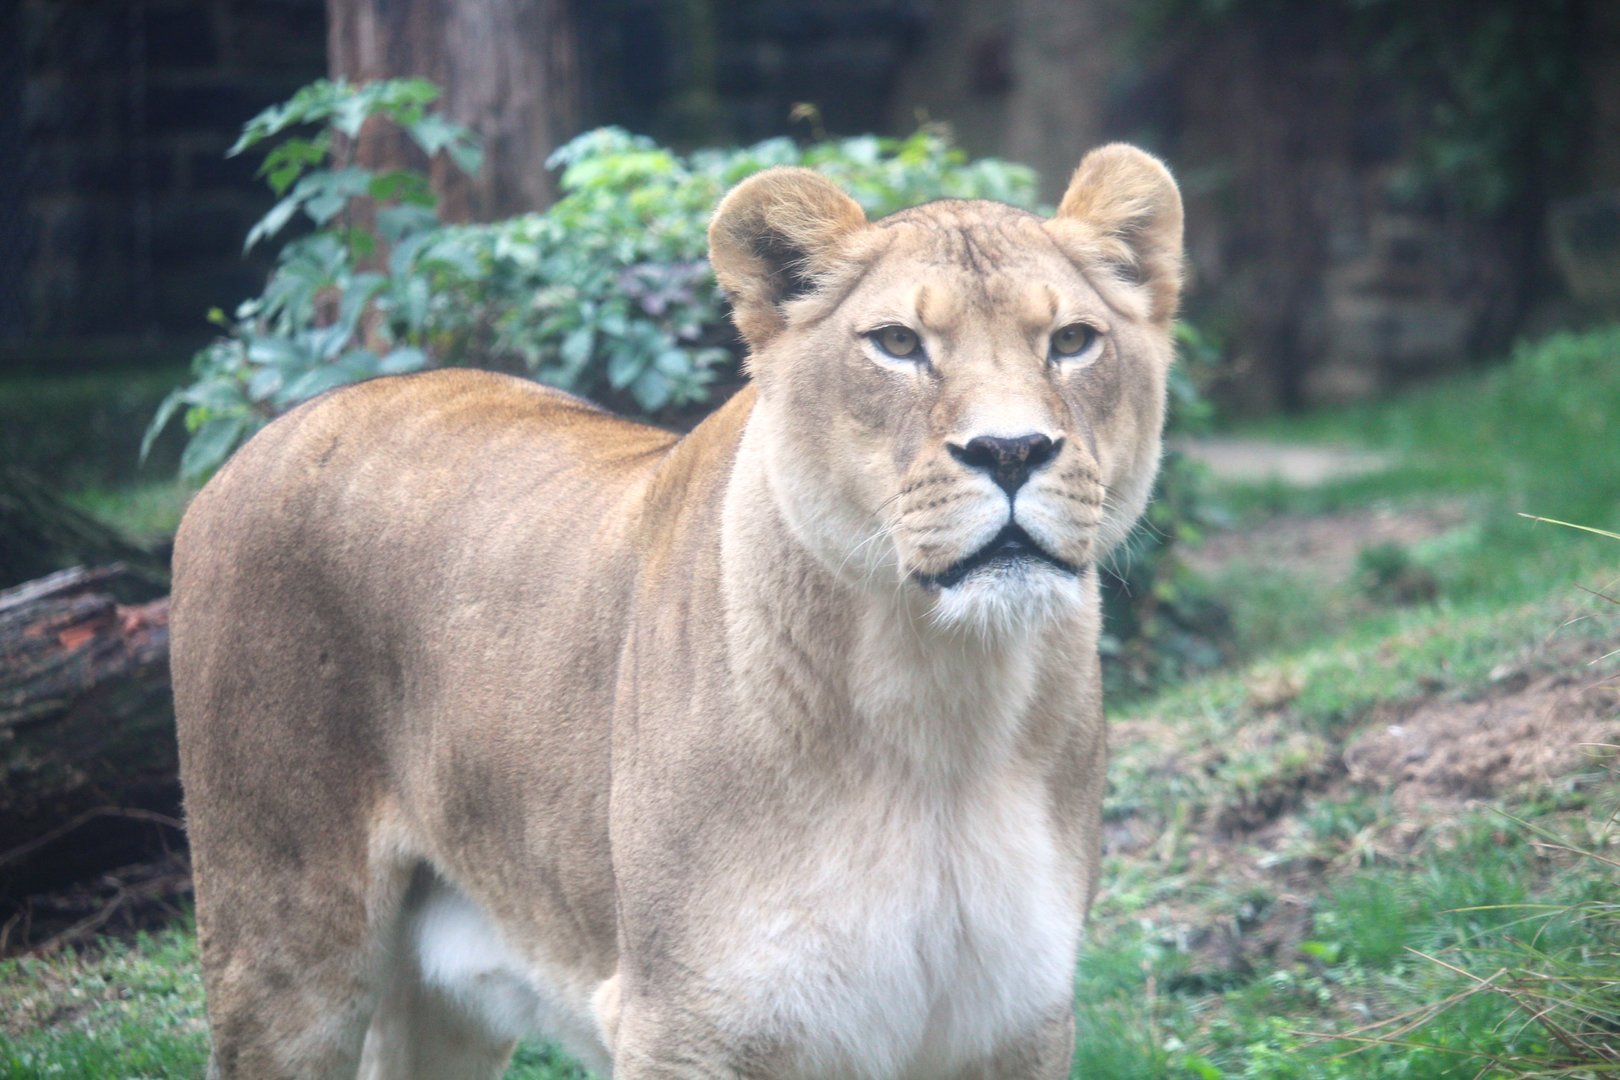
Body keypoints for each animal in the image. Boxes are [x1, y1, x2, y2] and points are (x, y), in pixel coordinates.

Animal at [170, 143, 1183, 1079]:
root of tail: (262, 438)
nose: (1011, 450)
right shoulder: (685, 1021)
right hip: (282, 947)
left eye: (1073, 342)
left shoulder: (1016, 1022)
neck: (938, 706)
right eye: (897, 344)